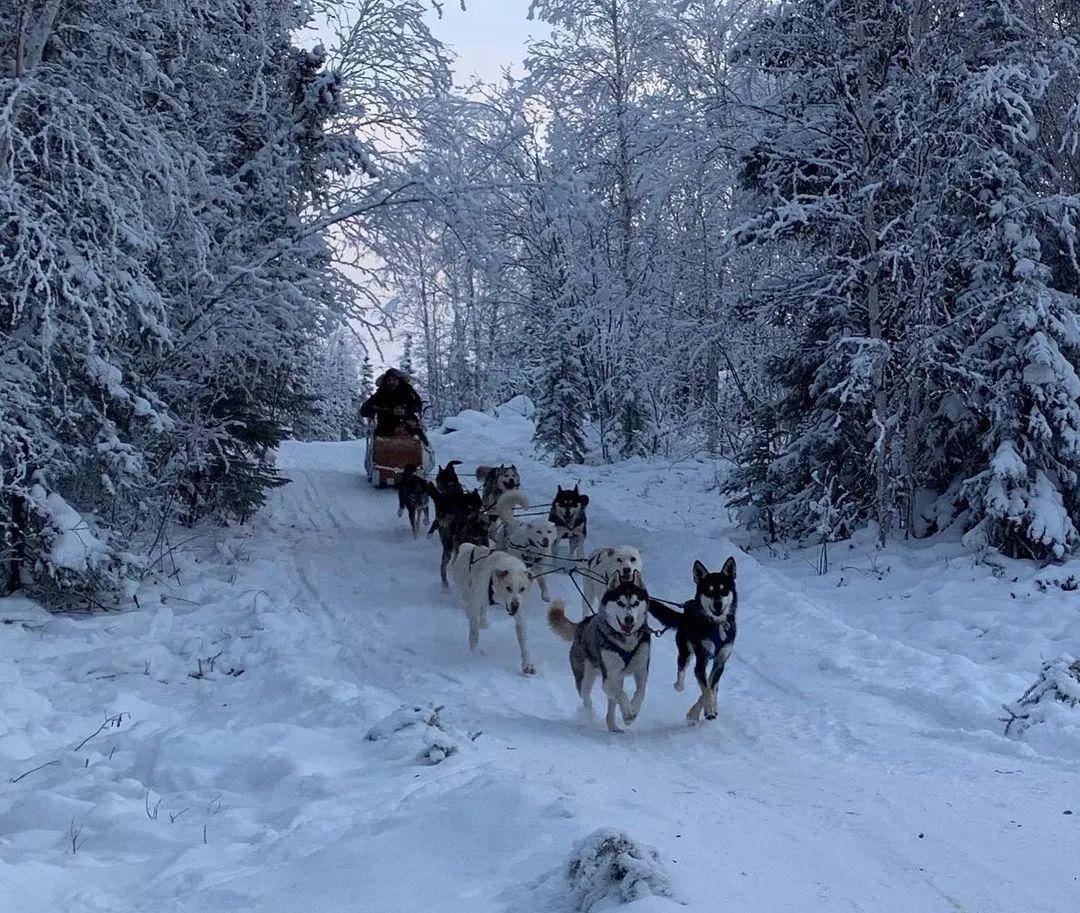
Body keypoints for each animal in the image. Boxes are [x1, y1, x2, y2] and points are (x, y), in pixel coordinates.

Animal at [449, 544, 537, 674]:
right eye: (508, 588)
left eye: (522, 589)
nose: (515, 605)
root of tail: (467, 546)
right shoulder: (475, 602)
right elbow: (474, 631)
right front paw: (475, 650)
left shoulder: (519, 612)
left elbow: (523, 639)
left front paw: (527, 664)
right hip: (465, 591)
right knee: (468, 608)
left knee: (482, 610)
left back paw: (483, 623)